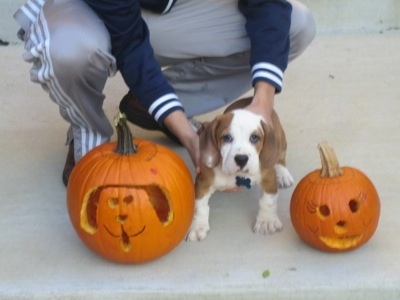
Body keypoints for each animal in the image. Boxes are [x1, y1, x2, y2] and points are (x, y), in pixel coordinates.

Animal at [185, 99, 294, 243]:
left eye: (254, 137)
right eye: (227, 137)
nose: (241, 159)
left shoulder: (269, 177)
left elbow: (268, 201)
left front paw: (266, 221)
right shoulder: (203, 183)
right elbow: (199, 206)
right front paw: (197, 226)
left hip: (281, 141)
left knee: (280, 158)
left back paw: (283, 175)